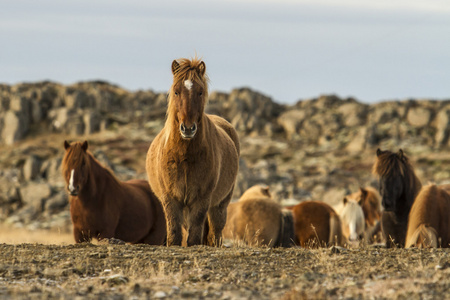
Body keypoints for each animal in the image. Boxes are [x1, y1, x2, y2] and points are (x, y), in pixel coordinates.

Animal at [147, 57, 239, 247]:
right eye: (176, 92)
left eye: (200, 92)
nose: (188, 128)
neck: (184, 156)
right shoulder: (170, 199)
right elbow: (174, 235)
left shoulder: (201, 199)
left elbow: (195, 237)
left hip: (220, 205)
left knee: (215, 233)